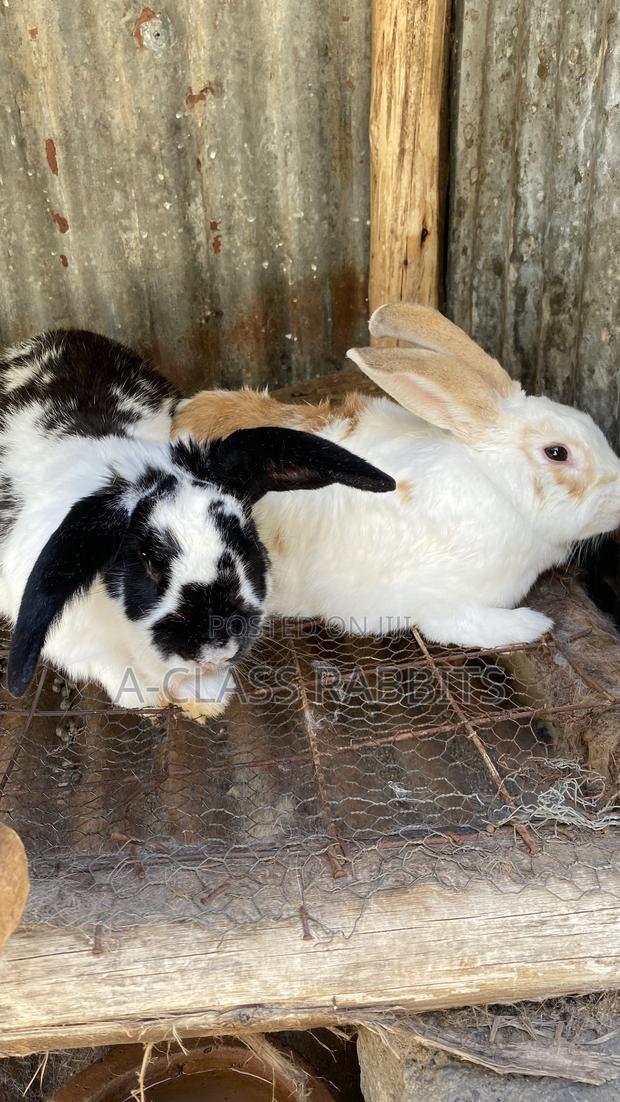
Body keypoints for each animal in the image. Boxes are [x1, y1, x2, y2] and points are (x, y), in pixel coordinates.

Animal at [0, 329, 395, 719]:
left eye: (246, 539)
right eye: (148, 562)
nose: (217, 645)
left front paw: (209, 697)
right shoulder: (78, 643)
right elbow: (111, 666)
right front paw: (147, 698)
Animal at [172, 302, 620, 649]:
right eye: (557, 452)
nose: (619, 502)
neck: (497, 490)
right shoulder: (438, 600)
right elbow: (460, 625)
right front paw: (532, 625)